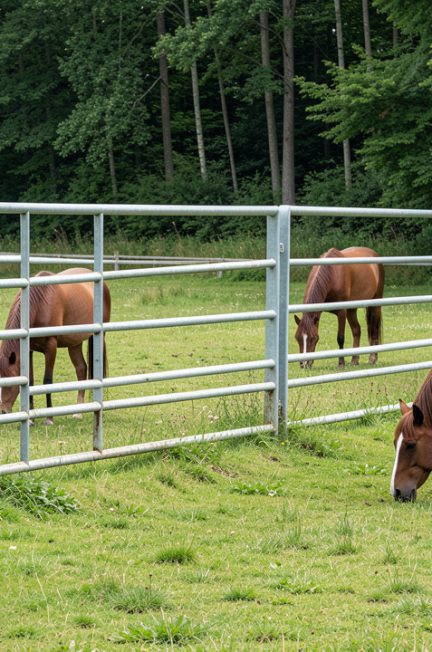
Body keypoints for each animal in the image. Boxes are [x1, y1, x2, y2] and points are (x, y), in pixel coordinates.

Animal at [0, 268, 111, 424]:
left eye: (9, 383)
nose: (3, 411)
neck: (40, 303)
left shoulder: (51, 347)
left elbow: (47, 381)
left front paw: (49, 418)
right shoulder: (29, 350)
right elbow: (31, 381)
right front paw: (30, 419)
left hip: (100, 336)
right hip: (74, 343)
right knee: (81, 368)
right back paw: (78, 412)